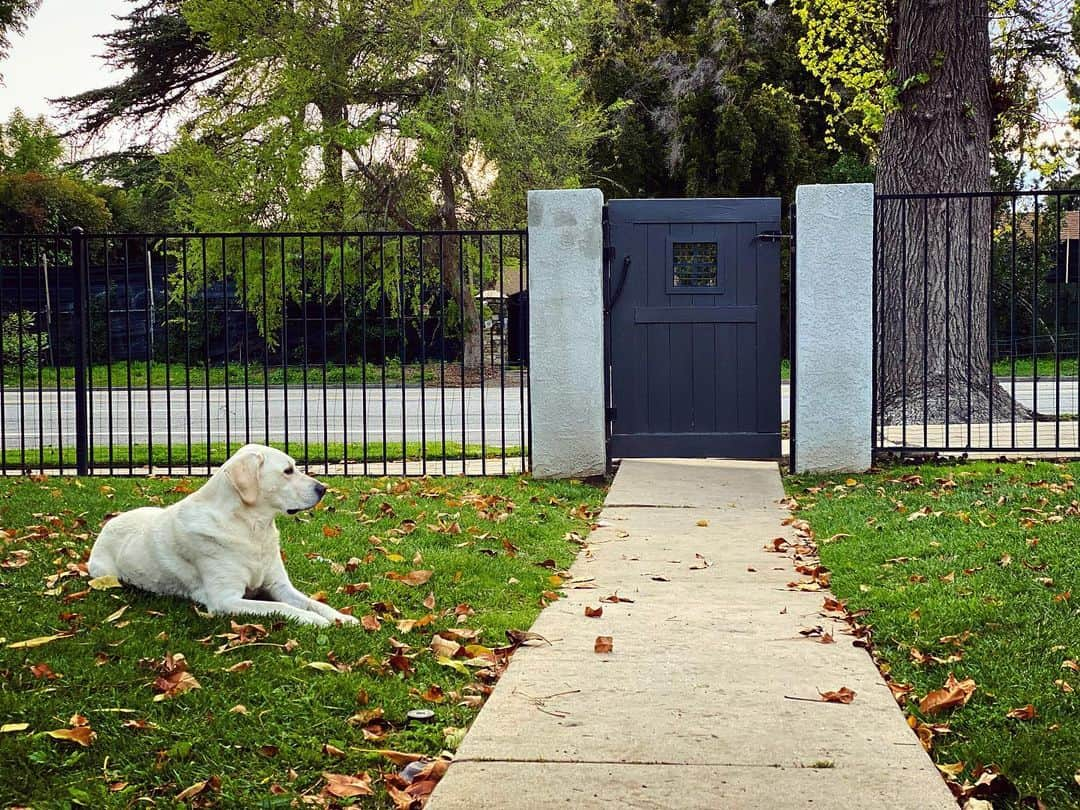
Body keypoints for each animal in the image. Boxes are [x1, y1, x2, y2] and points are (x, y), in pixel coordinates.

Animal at [87, 444, 358, 626]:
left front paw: (341, 617)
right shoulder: (225, 599)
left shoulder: (280, 586)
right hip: (105, 573)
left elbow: (314, 601)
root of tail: (110, 522)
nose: (323, 488)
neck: (252, 529)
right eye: (288, 471)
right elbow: (280, 606)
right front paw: (313, 620)